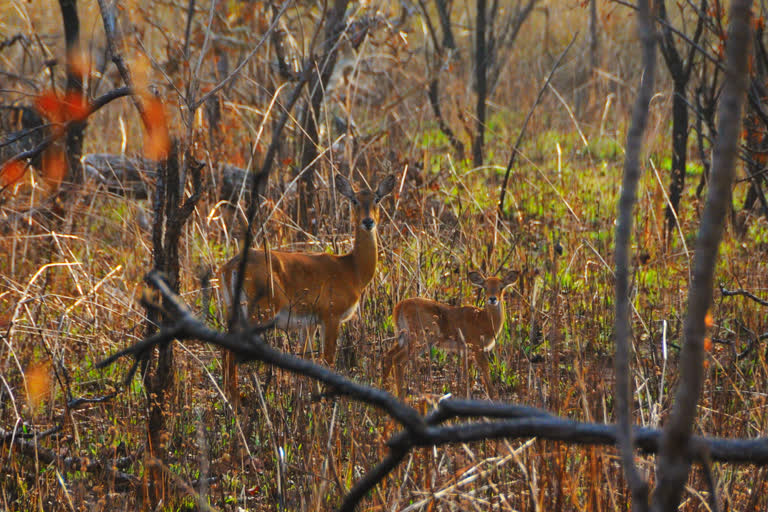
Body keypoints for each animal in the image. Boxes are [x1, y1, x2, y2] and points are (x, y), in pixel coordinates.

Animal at [218, 176, 392, 404]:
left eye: (377, 199)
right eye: (354, 200)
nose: (368, 221)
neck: (353, 271)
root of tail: (229, 268)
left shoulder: (308, 322)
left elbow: (309, 360)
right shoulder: (331, 313)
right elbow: (328, 360)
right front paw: (328, 403)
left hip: (231, 307)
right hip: (260, 309)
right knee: (232, 352)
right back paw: (235, 402)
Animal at [380, 270, 520, 398]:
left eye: (501, 287)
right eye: (485, 287)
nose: (492, 299)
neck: (483, 320)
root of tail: (399, 306)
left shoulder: (466, 351)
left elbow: (467, 376)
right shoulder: (477, 348)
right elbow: (485, 371)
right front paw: (493, 397)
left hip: (404, 338)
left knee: (388, 356)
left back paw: (385, 389)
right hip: (421, 339)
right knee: (398, 360)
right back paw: (400, 395)